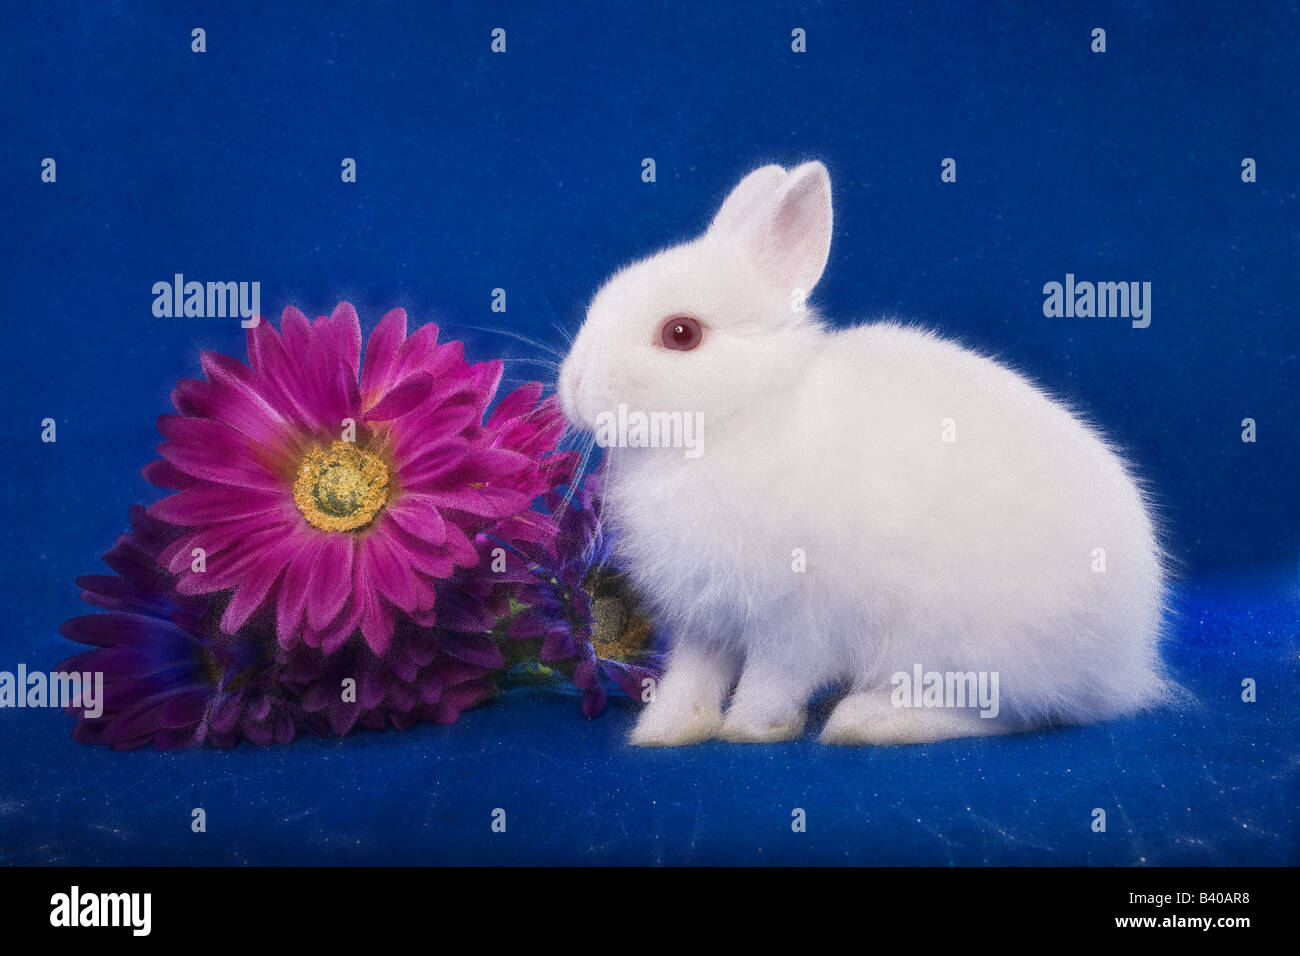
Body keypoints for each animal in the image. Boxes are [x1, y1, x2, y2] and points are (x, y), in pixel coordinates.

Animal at [557, 161, 1170, 746]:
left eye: (681, 334)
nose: (575, 387)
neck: (734, 418)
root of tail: (1126, 662)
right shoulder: (705, 618)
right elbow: (692, 678)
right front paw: (662, 733)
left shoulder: (796, 621)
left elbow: (771, 681)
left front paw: (752, 729)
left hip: (965, 646)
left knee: (1006, 714)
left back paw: (867, 720)